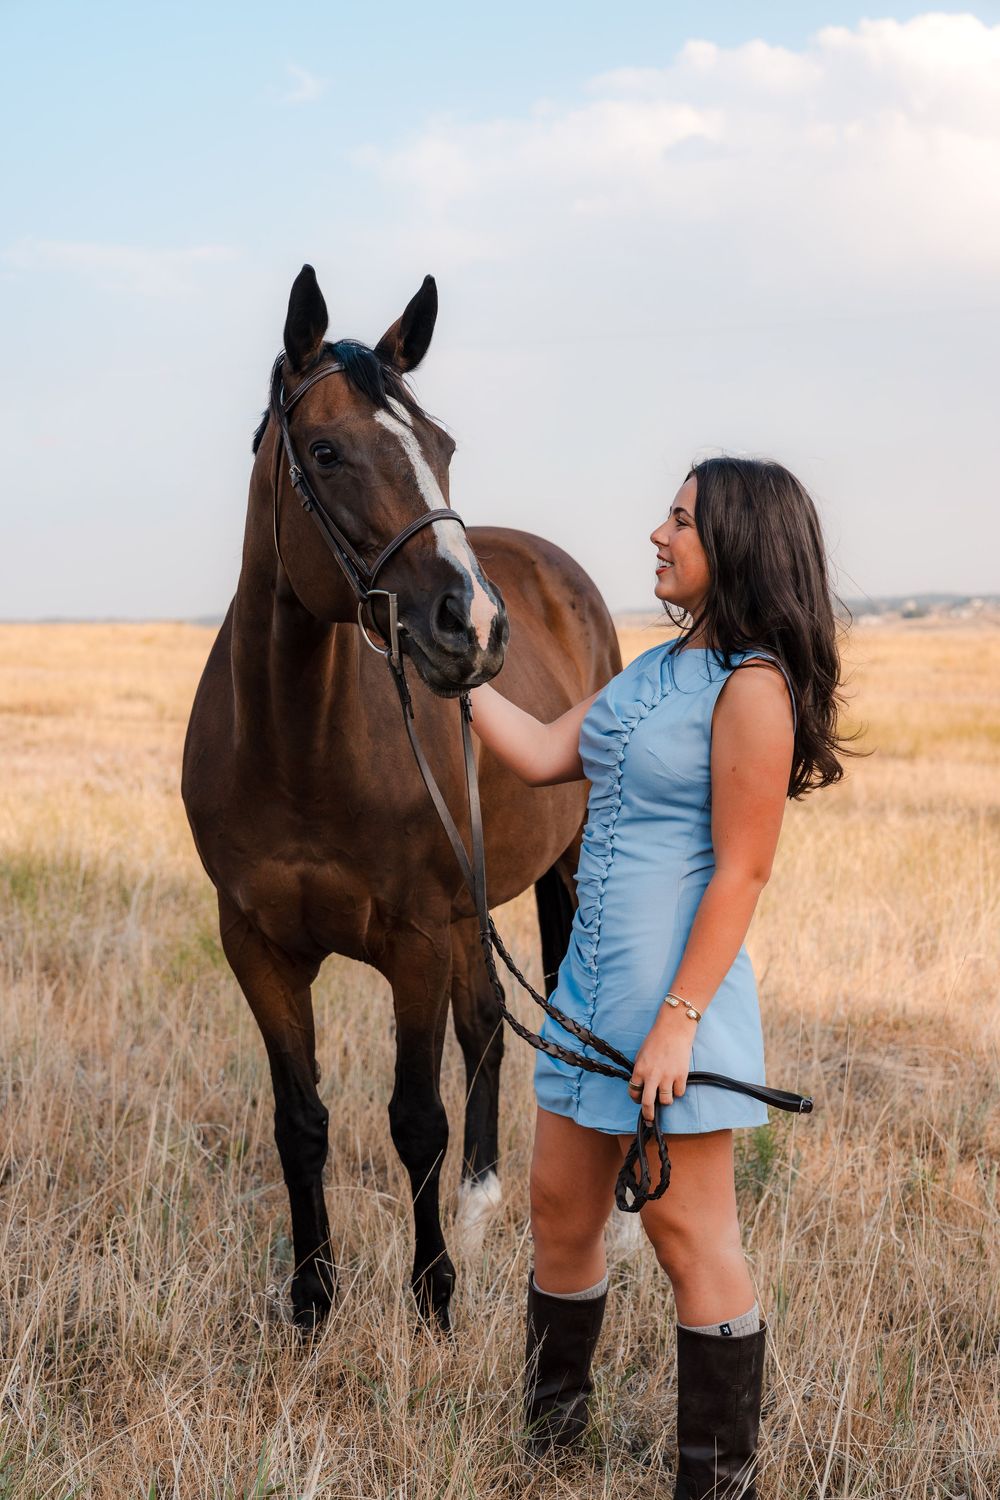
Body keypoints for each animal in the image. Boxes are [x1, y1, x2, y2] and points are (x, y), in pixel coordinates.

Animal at [181, 265, 622, 1329]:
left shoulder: (415, 940)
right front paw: (312, 1296)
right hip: (472, 904)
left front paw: (432, 1298)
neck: (296, 748)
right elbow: (299, 1121)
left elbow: (415, 1118)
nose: (476, 626)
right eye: (327, 452)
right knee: (488, 1027)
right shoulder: (256, 947)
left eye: (442, 448)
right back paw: (481, 1202)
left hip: (563, 869)